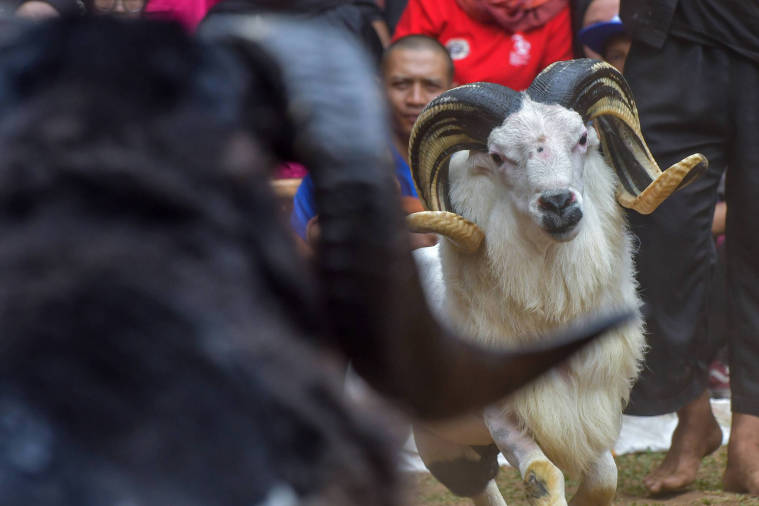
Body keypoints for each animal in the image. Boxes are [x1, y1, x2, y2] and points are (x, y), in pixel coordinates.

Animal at [0, 18, 632, 506]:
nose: (559, 204)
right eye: (498, 157)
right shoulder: (504, 418)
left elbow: (603, 476)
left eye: (582, 139)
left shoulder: (589, 415)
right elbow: (542, 475)